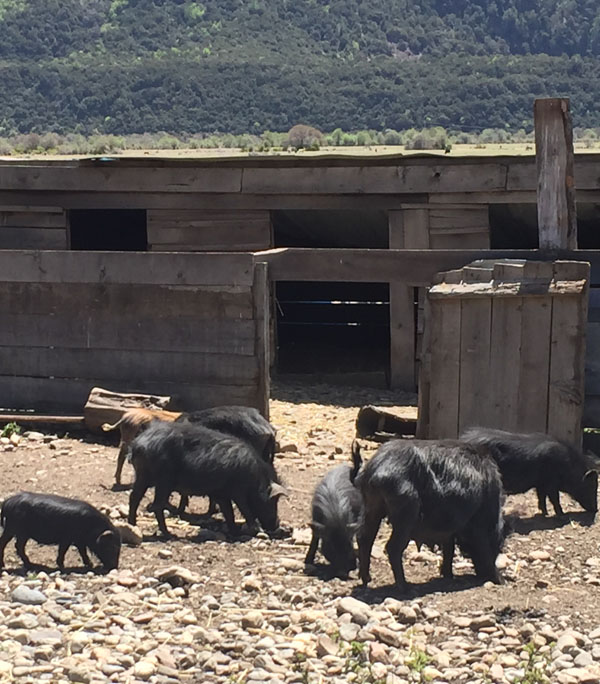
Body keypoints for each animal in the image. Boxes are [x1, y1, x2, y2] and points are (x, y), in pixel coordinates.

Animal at [127, 420, 287, 537]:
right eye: (273, 501)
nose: (276, 524)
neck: (256, 478)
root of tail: (138, 444)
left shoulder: (221, 494)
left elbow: (229, 512)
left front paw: (234, 531)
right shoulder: (238, 492)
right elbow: (245, 509)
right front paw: (254, 530)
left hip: (142, 477)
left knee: (134, 498)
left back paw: (132, 525)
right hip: (163, 481)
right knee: (157, 505)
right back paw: (168, 534)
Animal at [305, 445, 363, 576]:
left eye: (348, 544)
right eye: (330, 547)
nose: (343, 573)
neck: (335, 516)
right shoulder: (315, 518)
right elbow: (314, 538)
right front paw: (307, 561)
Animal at [355, 439, 505, 590]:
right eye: (498, 544)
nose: (481, 574)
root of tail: (374, 471)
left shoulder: (449, 528)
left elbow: (449, 548)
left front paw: (448, 576)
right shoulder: (477, 524)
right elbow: (481, 545)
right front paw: (500, 580)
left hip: (371, 506)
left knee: (364, 538)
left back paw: (366, 581)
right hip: (406, 509)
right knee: (392, 547)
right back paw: (406, 587)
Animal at [461, 428, 598, 517]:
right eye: (590, 487)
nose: (596, 509)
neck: (568, 466)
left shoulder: (540, 484)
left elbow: (541, 497)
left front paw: (545, 513)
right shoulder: (551, 483)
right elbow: (554, 498)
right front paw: (562, 515)